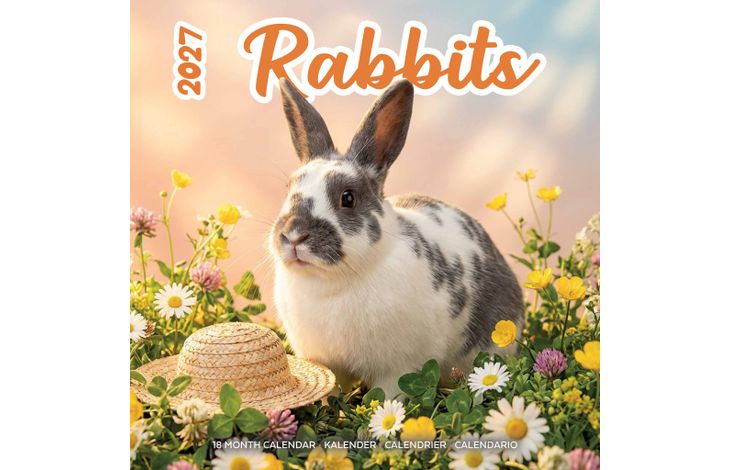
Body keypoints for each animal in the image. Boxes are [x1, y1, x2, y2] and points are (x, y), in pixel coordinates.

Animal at [269, 78, 524, 399]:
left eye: (348, 198)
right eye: (289, 189)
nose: (293, 235)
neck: (331, 282)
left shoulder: (397, 370)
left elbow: (386, 397)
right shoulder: (327, 364)